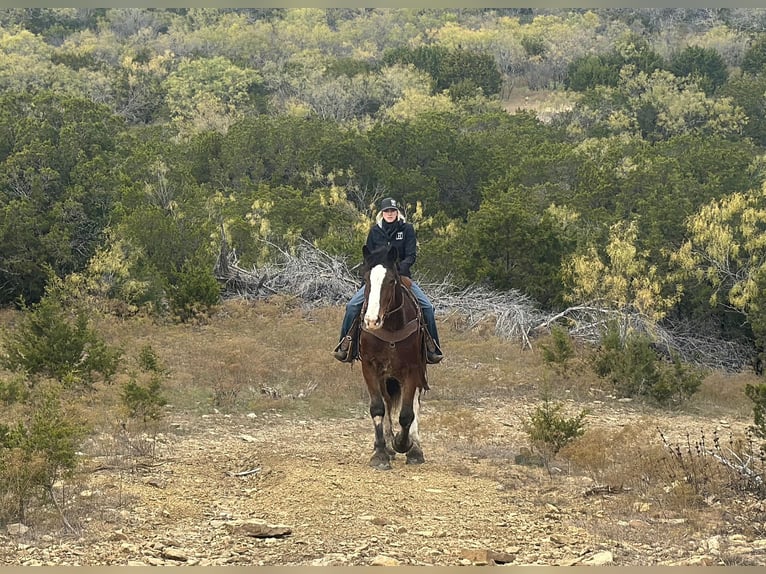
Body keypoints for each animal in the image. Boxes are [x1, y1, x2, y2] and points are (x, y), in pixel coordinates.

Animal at [362, 244, 432, 472]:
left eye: (392, 280)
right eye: (366, 279)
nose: (371, 321)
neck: (391, 326)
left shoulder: (412, 370)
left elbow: (407, 414)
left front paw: (404, 444)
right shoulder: (369, 367)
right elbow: (378, 408)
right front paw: (381, 453)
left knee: (415, 406)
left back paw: (414, 449)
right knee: (385, 402)